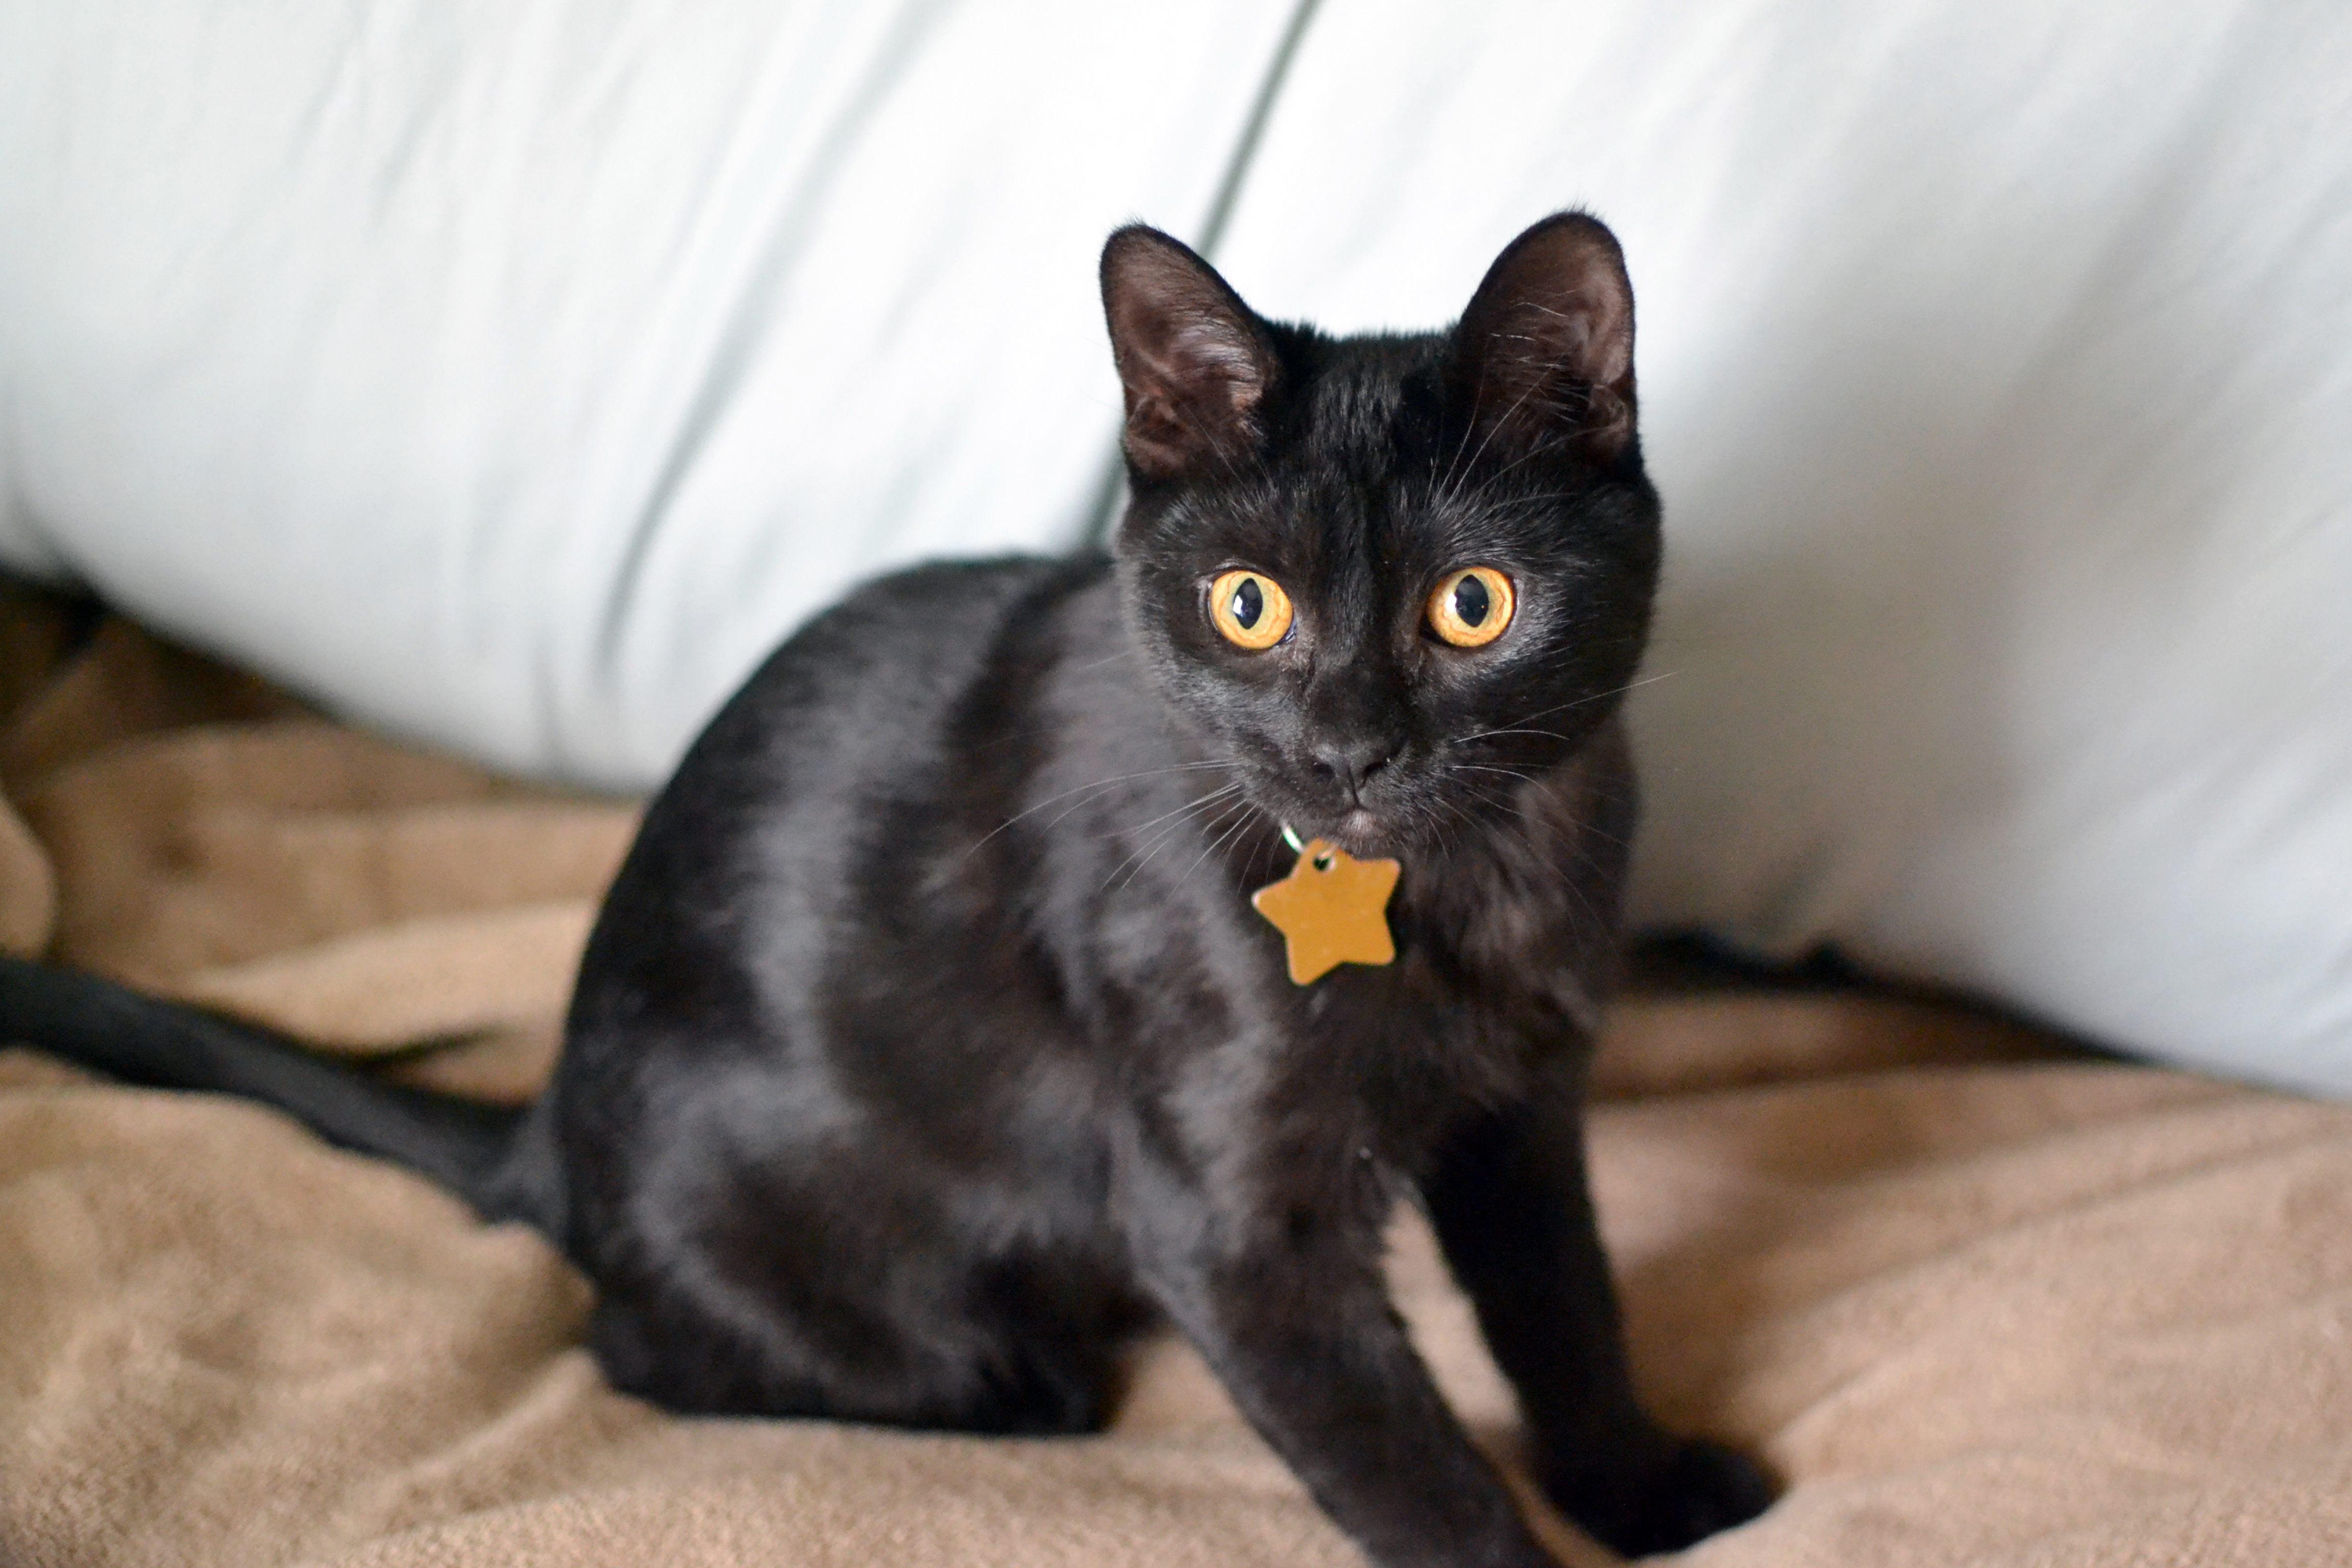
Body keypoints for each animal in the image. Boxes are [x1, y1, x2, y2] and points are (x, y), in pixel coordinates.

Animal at [0, 215, 1769, 1561]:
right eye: (1247, 605)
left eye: (1476, 605)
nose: (1344, 750)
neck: (1459, 892)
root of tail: (547, 1132)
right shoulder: (1234, 1231)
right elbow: (1411, 1464)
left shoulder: (1524, 1114)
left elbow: (1571, 1318)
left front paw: (1648, 1489)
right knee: (633, 1351)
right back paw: (1015, 1374)